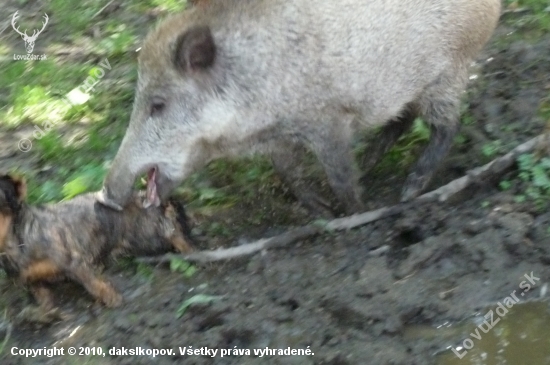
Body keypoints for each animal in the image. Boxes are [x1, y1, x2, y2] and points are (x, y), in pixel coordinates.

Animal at [0, 173, 194, 308]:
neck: (18, 242)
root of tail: (143, 196)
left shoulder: (74, 261)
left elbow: (92, 283)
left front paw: (111, 297)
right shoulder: (27, 279)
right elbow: (39, 292)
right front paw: (46, 310)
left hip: (148, 234)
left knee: (173, 230)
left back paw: (189, 249)